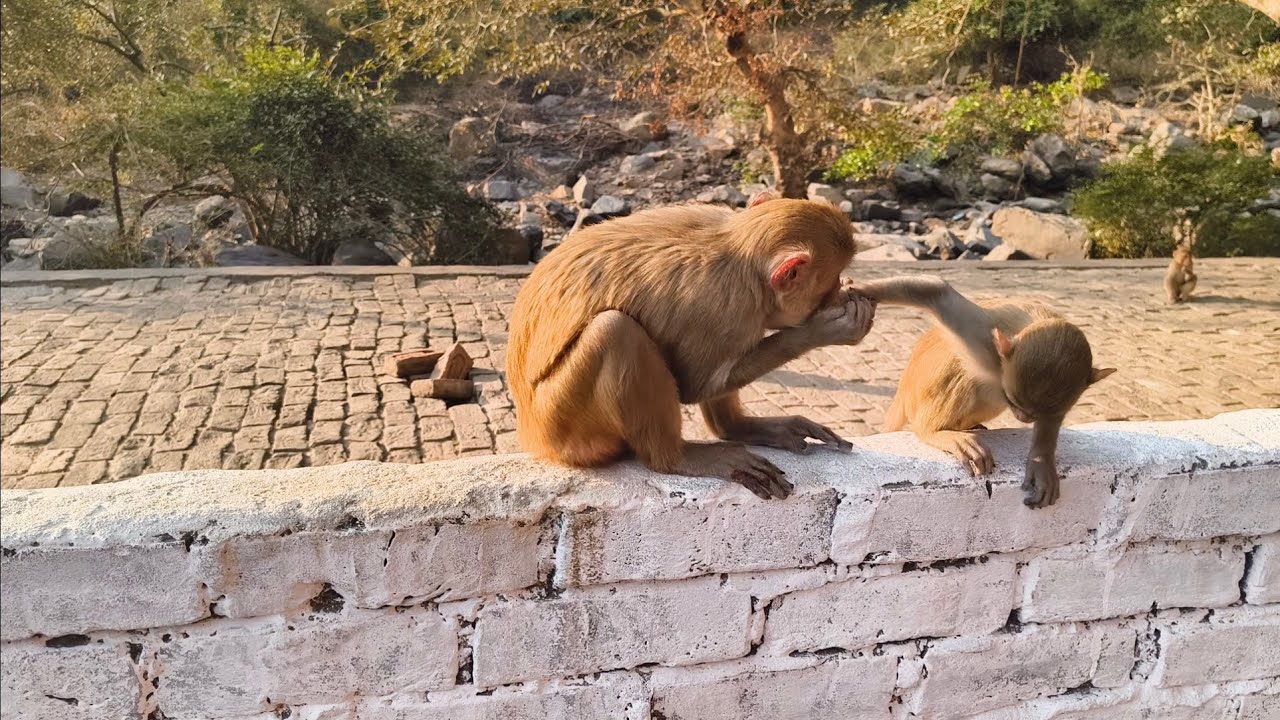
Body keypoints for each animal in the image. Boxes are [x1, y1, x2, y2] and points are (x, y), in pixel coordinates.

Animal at [507, 192, 877, 500]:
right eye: (830, 283)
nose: (840, 289)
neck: (743, 260)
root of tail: (532, 435)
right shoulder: (726, 308)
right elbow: (694, 386)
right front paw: (826, 329)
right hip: (563, 426)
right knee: (616, 331)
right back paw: (674, 458)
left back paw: (735, 428)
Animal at [846, 276, 1115, 508]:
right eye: (1014, 401)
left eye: (1034, 413)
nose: (1024, 418)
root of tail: (903, 390)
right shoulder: (984, 341)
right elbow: (938, 293)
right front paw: (861, 288)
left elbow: (1053, 418)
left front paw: (1041, 460)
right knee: (961, 370)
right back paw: (935, 431)